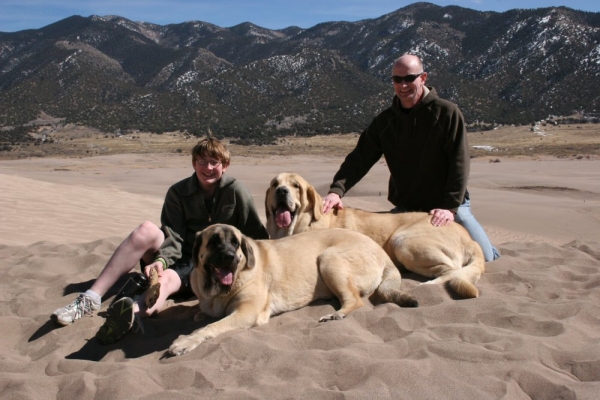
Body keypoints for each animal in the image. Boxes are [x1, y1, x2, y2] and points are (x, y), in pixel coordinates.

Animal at [165, 223, 418, 358]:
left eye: (235, 243)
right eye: (214, 242)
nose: (230, 257)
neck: (218, 291)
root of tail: (382, 252)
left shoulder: (247, 312)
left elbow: (211, 327)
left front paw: (185, 342)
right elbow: (204, 316)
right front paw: (198, 316)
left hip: (328, 259)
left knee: (355, 301)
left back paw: (335, 315)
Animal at [264, 172, 486, 300]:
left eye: (296, 186)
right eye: (275, 184)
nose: (281, 191)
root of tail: (470, 239)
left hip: (402, 241)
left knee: (453, 270)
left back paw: (427, 284)